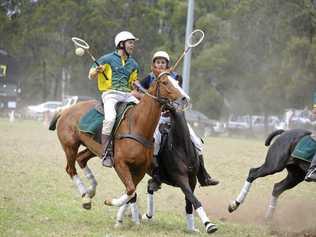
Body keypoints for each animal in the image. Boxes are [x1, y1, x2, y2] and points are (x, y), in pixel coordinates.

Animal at [48, 72, 189, 213]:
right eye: (165, 82)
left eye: (177, 82)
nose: (185, 98)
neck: (138, 125)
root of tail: (65, 110)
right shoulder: (120, 163)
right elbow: (131, 189)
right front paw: (110, 202)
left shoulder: (140, 168)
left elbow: (131, 191)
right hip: (70, 146)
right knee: (70, 169)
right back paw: (85, 197)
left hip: (93, 148)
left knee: (81, 159)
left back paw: (90, 191)